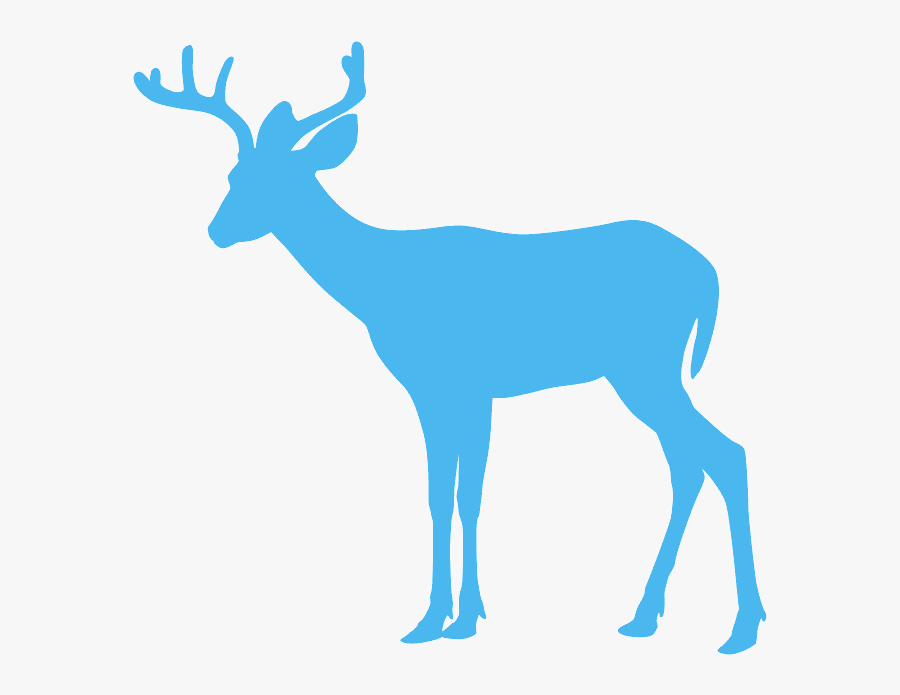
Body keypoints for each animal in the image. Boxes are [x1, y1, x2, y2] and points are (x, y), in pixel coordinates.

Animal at [134, 42, 766, 654]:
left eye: (277, 179)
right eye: (235, 174)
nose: (217, 230)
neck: (382, 286)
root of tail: (708, 272)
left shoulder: (460, 385)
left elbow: (461, 495)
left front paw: (452, 619)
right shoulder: (445, 392)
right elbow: (447, 495)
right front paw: (447, 617)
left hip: (646, 366)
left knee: (723, 453)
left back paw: (741, 625)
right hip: (643, 374)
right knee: (689, 462)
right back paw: (646, 616)